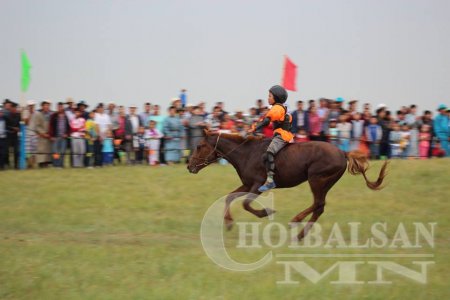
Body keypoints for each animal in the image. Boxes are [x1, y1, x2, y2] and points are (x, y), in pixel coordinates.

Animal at [186, 131, 386, 239]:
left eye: (199, 146)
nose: (189, 166)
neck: (246, 153)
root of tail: (343, 153)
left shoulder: (258, 185)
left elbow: (246, 204)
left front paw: (266, 212)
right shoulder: (247, 185)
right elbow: (229, 197)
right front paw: (228, 222)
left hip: (317, 179)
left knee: (318, 203)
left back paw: (296, 221)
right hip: (325, 182)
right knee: (319, 207)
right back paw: (300, 234)